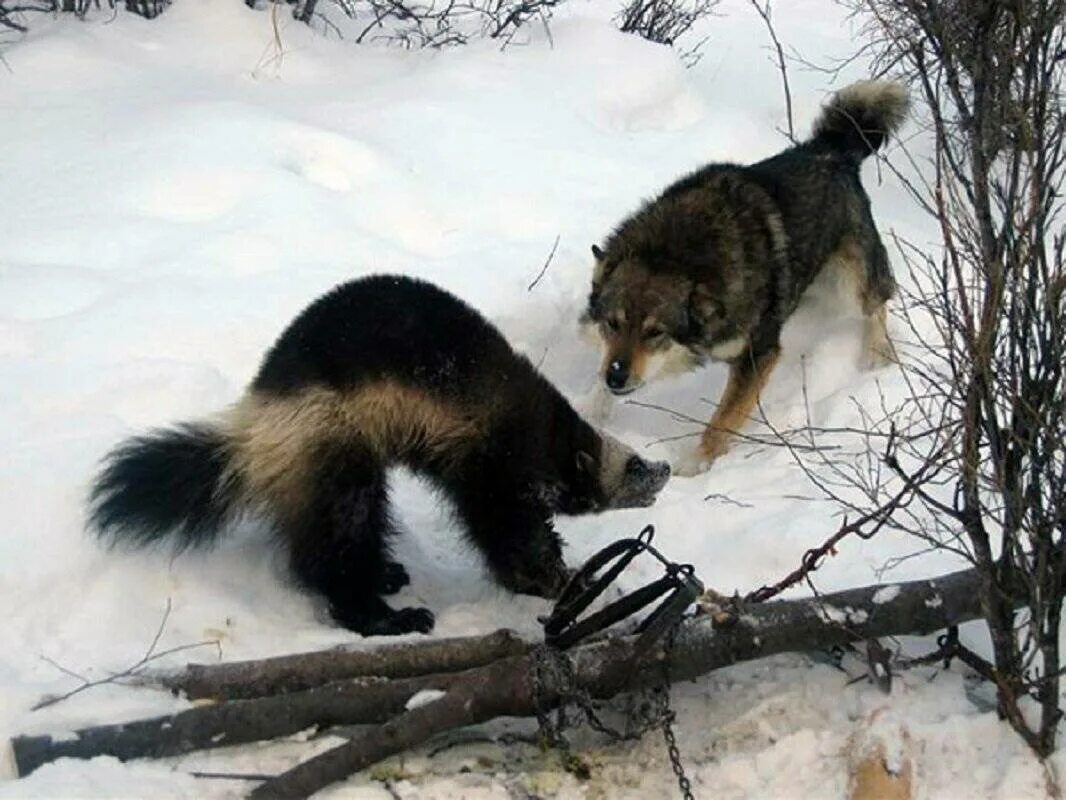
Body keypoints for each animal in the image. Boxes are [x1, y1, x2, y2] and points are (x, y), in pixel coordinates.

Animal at [584, 80, 908, 475]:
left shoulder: (759, 354)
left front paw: (693, 468)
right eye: (612, 324)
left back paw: (877, 356)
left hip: (850, 285)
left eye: (655, 333)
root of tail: (829, 147)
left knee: (878, 302)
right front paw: (587, 410)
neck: (674, 254)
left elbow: (723, 420)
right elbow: (598, 387)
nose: (615, 376)